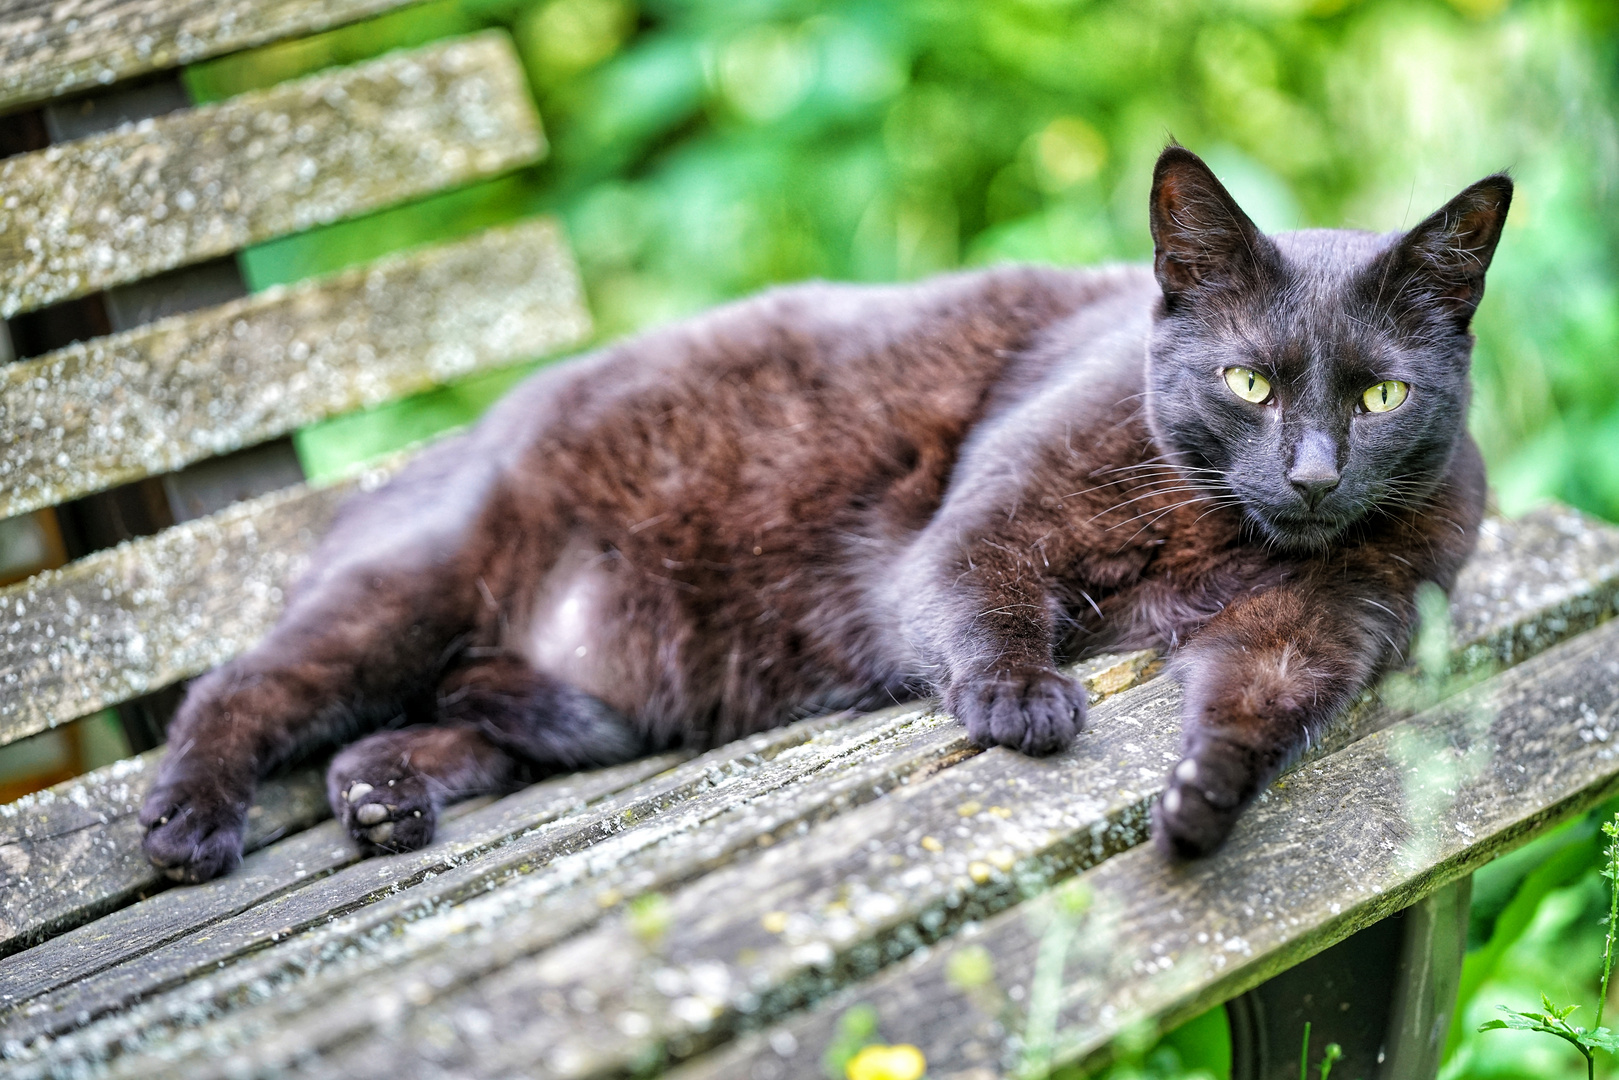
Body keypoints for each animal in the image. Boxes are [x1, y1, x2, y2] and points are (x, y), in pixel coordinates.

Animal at [135, 148, 1502, 880]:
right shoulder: (977, 528)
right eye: (1247, 382)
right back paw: (189, 825)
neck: (1223, 536)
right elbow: (982, 600)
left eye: (1378, 395)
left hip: (547, 705)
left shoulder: (1322, 626)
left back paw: (383, 803)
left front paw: (1199, 799)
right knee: (242, 690)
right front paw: (1023, 701)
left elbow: (1260, 708)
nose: (1313, 474)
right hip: (414, 594)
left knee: (414, 732)